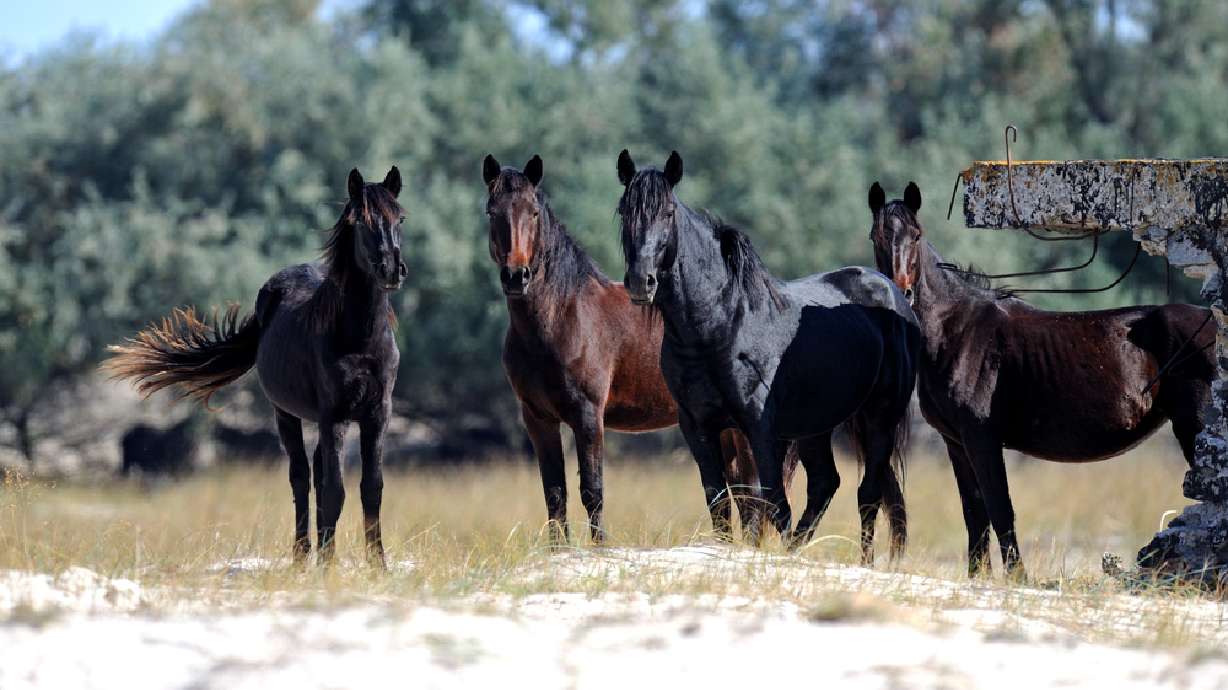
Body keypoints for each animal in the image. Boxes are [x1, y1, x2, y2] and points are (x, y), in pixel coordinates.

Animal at [105, 167, 406, 567]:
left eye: (400, 218)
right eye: (361, 221)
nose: (391, 269)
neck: (358, 337)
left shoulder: (378, 413)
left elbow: (372, 489)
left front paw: (378, 566)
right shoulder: (337, 416)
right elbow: (335, 490)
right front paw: (328, 565)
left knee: (315, 475)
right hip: (286, 414)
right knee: (301, 477)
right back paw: (302, 556)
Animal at [483, 154, 795, 544]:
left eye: (534, 212)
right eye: (492, 211)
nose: (516, 275)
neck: (561, 318)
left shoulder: (588, 416)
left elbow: (592, 492)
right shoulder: (538, 419)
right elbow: (555, 496)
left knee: (753, 498)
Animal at [617, 150, 921, 564]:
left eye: (667, 212)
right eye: (623, 211)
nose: (640, 281)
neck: (720, 323)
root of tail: (894, 295)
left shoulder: (758, 427)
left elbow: (772, 503)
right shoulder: (697, 425)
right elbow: (719, 502)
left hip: (879, 417)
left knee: (868, 494)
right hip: (816, 425)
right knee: (825, 483)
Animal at [867, 181, 1214, 578]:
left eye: (917, 234)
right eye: (877, 236)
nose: (903, 293)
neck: (955, 330)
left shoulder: (982, 439)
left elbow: (1000, 510)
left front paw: (1016, 577)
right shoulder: (956, 442)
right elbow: (975, 514)